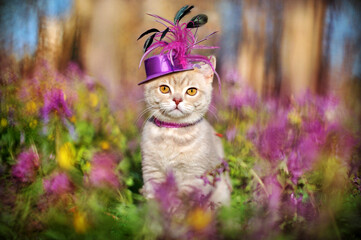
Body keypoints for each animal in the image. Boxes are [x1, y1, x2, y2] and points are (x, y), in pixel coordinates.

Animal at [141, 56, 231, 206]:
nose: (177, 99)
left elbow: (182, 204)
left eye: (191, 91)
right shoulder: (152, 171)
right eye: (164, 88)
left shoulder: (195, 177)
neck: (173, 134)